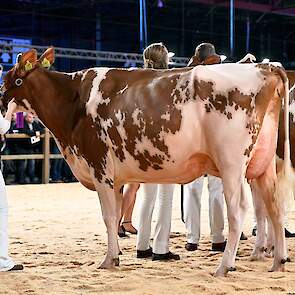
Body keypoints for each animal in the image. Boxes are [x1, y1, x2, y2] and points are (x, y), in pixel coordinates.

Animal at [0, 47, 292, 276]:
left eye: (13, 81)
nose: (1, 107)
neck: (73, 103)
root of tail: (264, 67)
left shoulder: (100, 168)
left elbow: (108, 216)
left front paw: (108, 260)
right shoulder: (115, 178)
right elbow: (116, 214)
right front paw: (117, 255)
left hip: (232, 164)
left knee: (239, 209)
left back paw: (224, 266)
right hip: (263, 163)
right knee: (274, 206)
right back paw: (278, 261)